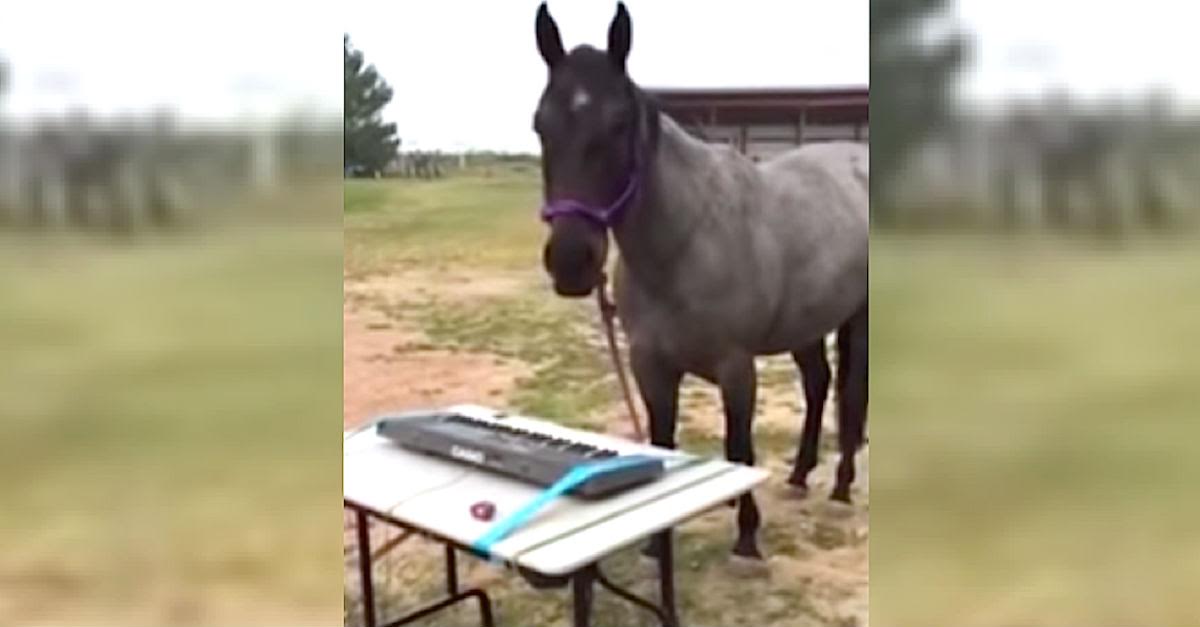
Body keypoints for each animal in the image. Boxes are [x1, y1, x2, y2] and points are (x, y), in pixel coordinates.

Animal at [532, 2, 868, 559]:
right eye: (540, 124)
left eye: (619, 123)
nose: (572, 260)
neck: (682, 246)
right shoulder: (650, 368)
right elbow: (663, 443)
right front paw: (656, 542)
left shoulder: (736, 368)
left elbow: (738, 449)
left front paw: (747, 537)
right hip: (805, 323)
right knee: (818, 385)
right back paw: (800, 474)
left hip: (856, 318)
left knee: (849, 392)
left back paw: (841, 484)